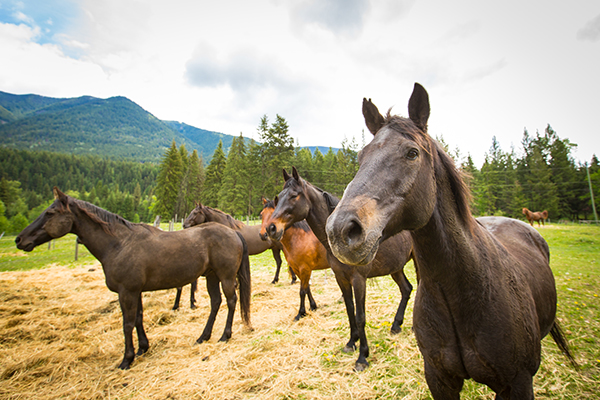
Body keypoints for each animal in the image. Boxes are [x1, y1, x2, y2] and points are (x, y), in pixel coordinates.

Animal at [15, 189, 251, 370]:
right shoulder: (135, 291)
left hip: (225, 277)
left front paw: (126, 359)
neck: (119, 243)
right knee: (215, 302)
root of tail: (233, 233)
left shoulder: (126, 292)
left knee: (231, 301)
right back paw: (204, 336)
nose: (19, 239)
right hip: (211, 277)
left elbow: (127, 324)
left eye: (50, 213)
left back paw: (225, 335)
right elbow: (138, 318)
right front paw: (142, 348)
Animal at [264, 168, 414, 372]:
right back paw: (396, 325)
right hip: (396, 268)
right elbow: (350, 310)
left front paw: (362, 357)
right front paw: (351, 343)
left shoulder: (359, 280)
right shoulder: (341, 278)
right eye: (278, 198)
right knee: (406, 289)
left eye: (294, 196)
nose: (271, 229)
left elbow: (360, 316)